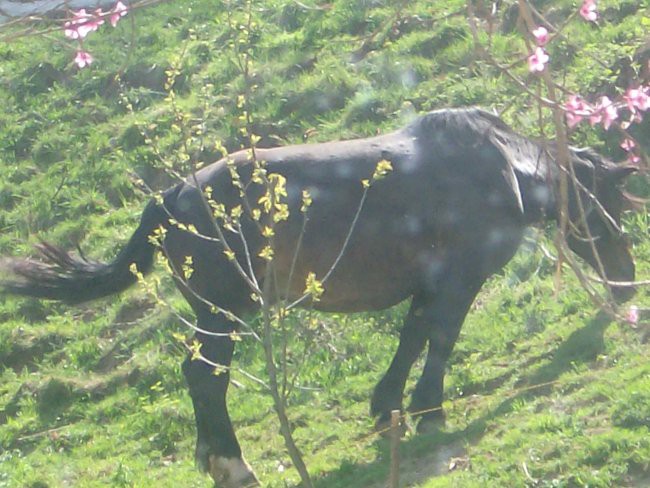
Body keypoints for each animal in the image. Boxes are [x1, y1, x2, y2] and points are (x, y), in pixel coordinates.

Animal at [1, 108, 632, 486]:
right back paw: (232, 464)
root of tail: (169, 197)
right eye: (612, 203)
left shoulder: (428, 285)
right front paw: (430, 411)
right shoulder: (458, 281)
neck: (501, 170)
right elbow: (440, 339)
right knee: (205, 378)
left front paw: (388, 407)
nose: (627, 281)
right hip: (222, 315)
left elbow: (412, 337)